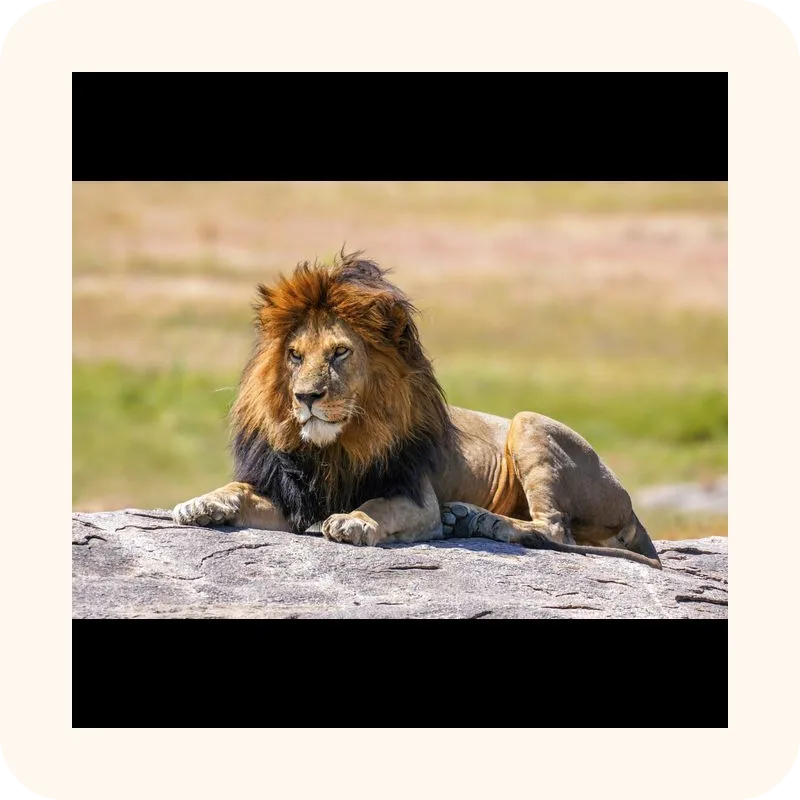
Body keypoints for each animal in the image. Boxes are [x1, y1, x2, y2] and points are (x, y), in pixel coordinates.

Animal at [173, 251, 662, 569]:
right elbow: (238, 489)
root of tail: (631, 506)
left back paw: (476, 519)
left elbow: (378, 506)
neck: (337, 447)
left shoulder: (415, 495)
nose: (306, 397)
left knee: (554, 529)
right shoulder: (292, 498)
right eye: (294, 355)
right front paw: (201, 503)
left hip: (528, 423)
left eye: (339, 353)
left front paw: (354, 521)